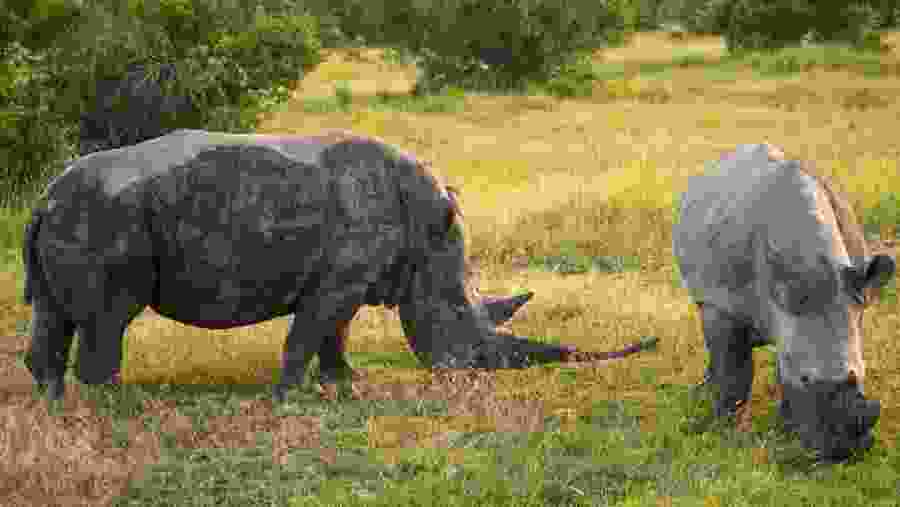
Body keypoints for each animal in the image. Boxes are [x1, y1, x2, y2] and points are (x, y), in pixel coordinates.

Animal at [21, 129, 652, 402]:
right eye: (457, 318)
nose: (472, 374)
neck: (426, 236)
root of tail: (42, 199)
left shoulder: (350, 276)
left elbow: (334, 332)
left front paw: (344, 382)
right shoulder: (342, 277)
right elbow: (311, 330)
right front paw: (287, 395)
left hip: (76, 211)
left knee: (56, 313)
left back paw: (55, 401)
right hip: (106, 215)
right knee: (110, 317)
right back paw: (117, 402)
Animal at [676, 143, 892, 464]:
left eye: (861, 374)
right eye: (805, 378)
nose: (843, 454)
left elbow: (782, 363)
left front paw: (787, 431)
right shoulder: (722, 303)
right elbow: (734, 371)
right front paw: (722, 432)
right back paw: (703, 396)